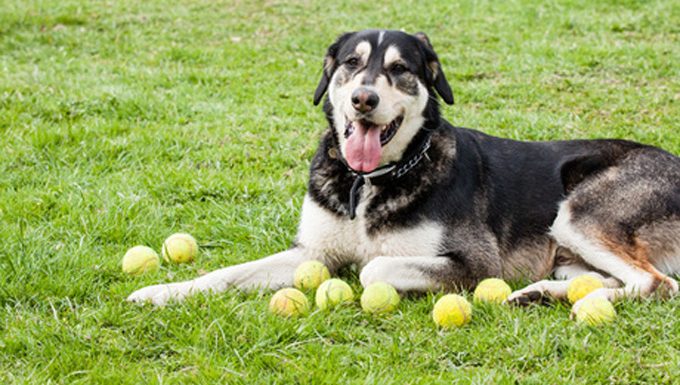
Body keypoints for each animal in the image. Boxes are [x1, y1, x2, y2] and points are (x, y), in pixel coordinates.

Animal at [127, 28, 680, 314]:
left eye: (400, 70)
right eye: (351, 63)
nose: (363, 99)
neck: (367, 183)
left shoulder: (477, 264)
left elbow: (373, 266)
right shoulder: (311, 253)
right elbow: (226, 274)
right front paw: (162, 292)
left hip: (579, 215)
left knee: (657, 285)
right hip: (568, 252)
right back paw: (541, 292)